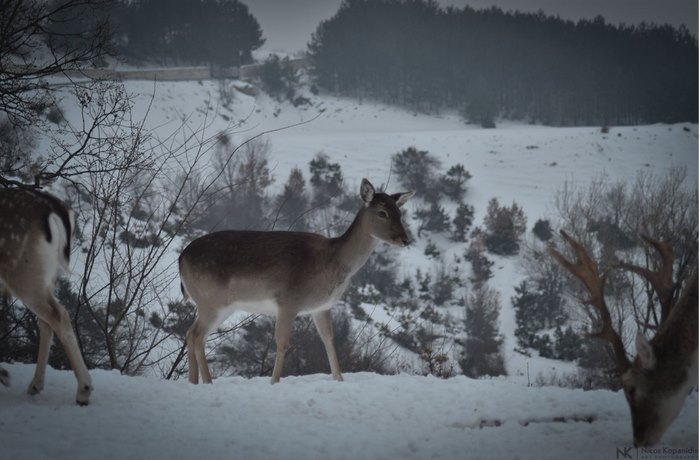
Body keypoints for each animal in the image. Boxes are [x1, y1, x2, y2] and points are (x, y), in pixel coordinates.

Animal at [0, 186, 91, 402]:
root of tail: (58, 209)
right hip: (45, 274)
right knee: (46, 321)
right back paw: (34, 385)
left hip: (24, 272)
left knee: (58, 315)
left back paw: (83, 390)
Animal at [178, 180, 416, 384]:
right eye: (382, 213)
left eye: (400, 213)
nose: (405, 240)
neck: (332, 264)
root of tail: (181, 259)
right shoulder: (288, 301)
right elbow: (283, 342)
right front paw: (274, 381)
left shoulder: (321, 307)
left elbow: (329, 340)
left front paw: (339, 379)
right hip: (210, 300)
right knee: (196, 334)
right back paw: (205, 382)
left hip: (222, 305)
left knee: (193, 335)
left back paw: (197, 381)